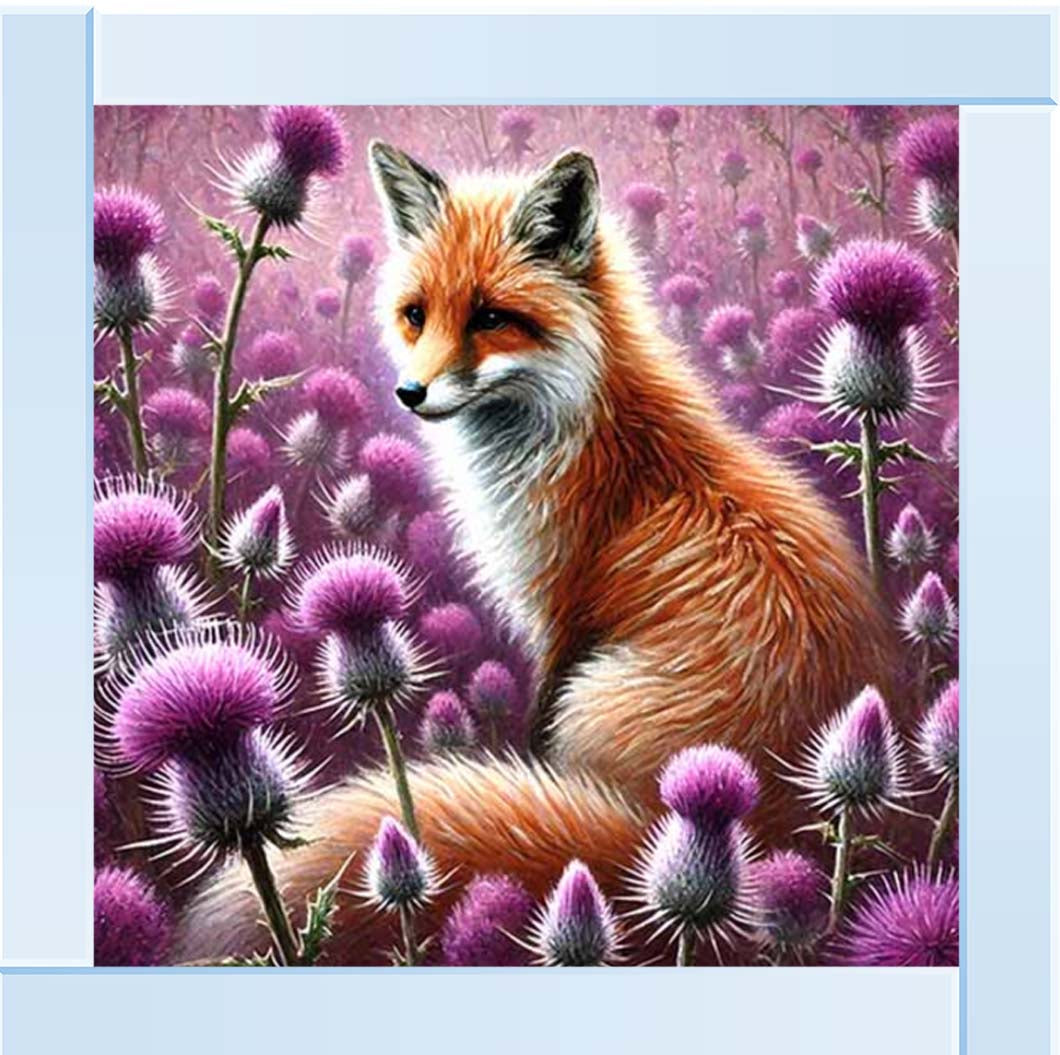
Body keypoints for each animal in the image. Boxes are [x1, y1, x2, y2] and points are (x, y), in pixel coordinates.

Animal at [172, 142, 894, 964]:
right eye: (417, 314)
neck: (586, 433)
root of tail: (773, 833)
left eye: (491, 318)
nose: (410, 392)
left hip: (590, 696)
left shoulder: (560, 615)